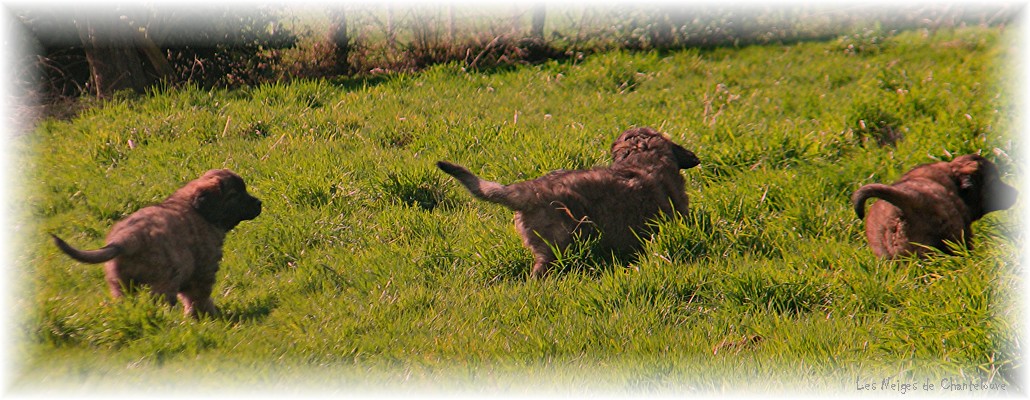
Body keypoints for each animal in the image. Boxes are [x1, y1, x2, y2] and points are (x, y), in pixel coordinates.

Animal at [51, 168, 261, 315]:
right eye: (236, 195)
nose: (259, 203)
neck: (199, 211)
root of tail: (126, 239)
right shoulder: (203, 270)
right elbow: (198, 297)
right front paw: (206, 315)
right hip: (165, 279)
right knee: (162, 301)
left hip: (120, 284)